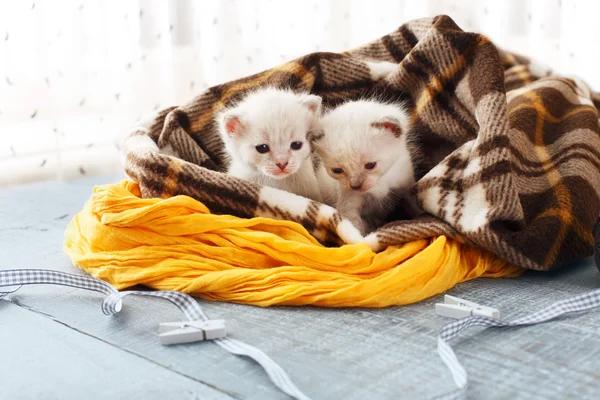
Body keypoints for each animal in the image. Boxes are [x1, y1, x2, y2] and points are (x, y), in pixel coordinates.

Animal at [314, 100, 422, 236]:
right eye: (337, 170)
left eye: (370, 165)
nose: (355, 186)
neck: (379, 183)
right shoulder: (349, 203)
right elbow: (354, 228)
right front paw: (361, 238)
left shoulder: (406, 186)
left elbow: (414, 205)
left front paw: (421, 217)